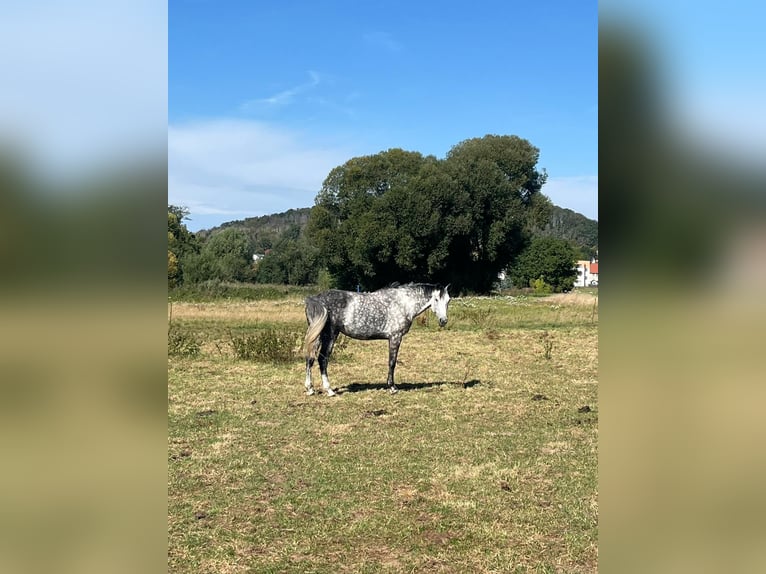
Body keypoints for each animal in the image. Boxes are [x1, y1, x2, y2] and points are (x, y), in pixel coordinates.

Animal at [302, 283, 451, 396]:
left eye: (448, 300)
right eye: (436, 299)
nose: (443, 321)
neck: (403, 303)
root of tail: (316, 299)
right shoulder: (395, 337)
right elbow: (392, 362)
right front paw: (392, 387)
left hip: (318, 336)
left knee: (310, 358)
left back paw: (310, 389)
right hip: (330, 335)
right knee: (322, 359)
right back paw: (329, 390)